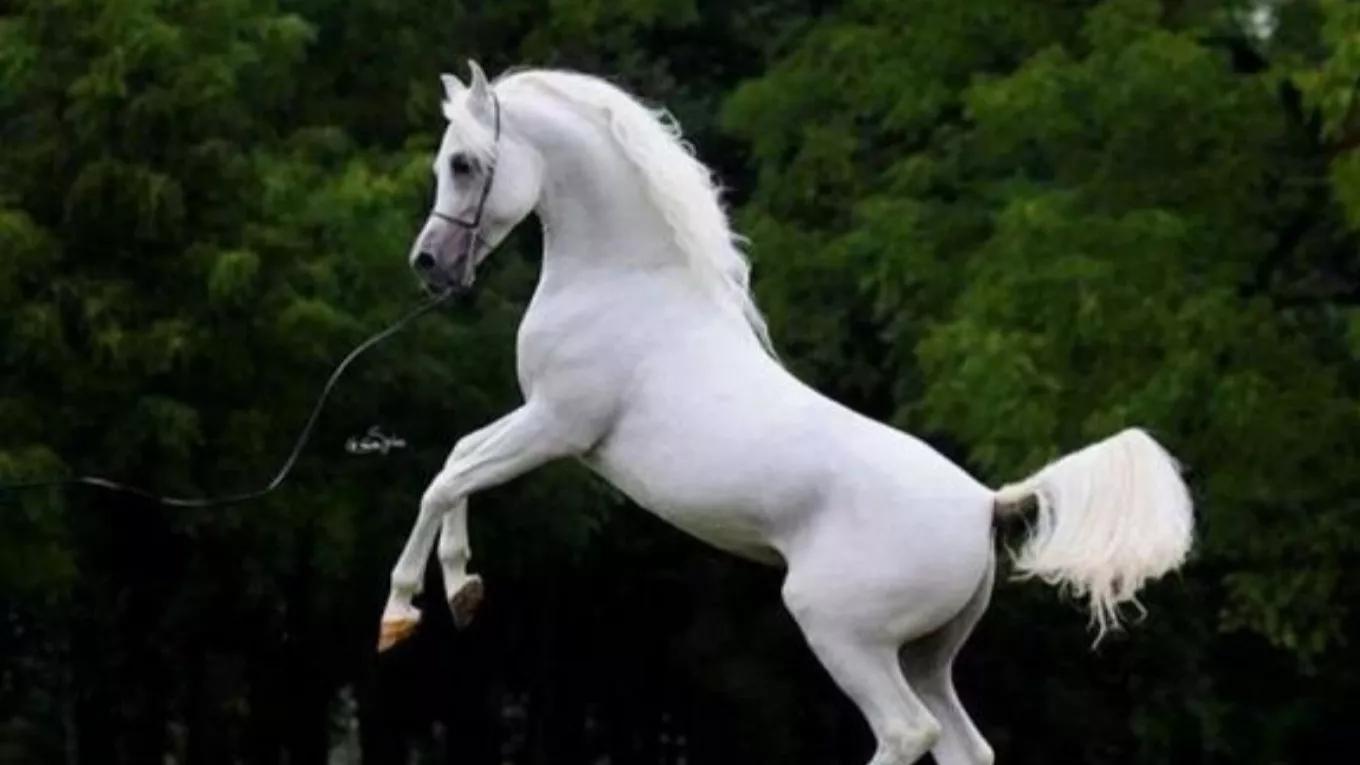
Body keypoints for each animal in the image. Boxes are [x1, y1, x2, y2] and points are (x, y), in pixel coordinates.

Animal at [378, 62, 1195, 765]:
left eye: (463, 164)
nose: (428, 265)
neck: (626, 282)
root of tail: (985, 503)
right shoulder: (539, 421)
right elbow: (458, 460)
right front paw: (463, 590)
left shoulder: (556, 426)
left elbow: (445, 479)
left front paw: (401, 614)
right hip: (927, 655)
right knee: (962, 744)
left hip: (843, 632)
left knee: (906, 732)